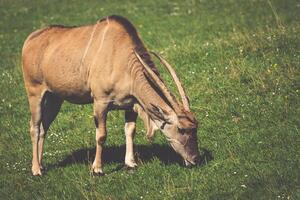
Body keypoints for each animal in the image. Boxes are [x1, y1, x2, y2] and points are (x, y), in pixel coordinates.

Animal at [21, 14, 199, 176]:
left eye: (196, 128)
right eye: (182, 129)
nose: (195, 159)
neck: (123, 59)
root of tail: (29, 40)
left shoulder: (131, 104)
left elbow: (130, 130)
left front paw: (130, 162)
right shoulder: (100, 102)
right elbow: (101, 135)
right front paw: (97, 169)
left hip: (54, 98)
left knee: (43, 127)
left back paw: (42, 165)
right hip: (35, 93)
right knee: (34, 127)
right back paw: (36, 170)